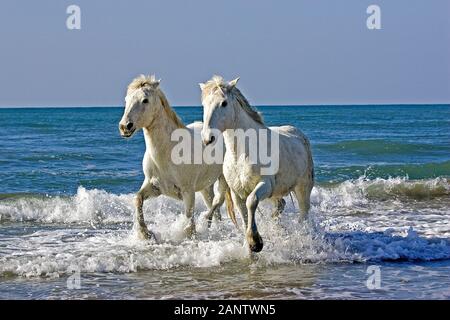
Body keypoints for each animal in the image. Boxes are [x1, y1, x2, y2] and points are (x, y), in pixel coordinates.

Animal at [118, 75, 234, 240]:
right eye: (127, 99)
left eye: (145, 100)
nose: (124, 127)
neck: (168, 152)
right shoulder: (153, 187)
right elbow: (137, 199)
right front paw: (146, 233)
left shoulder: (188, 192)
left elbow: (189, 221)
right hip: (206, 185)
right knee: (213, 205)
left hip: (223, 178)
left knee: (218, 201)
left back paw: (206, 222)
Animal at [200, 75, 312, 252]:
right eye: (204, 104)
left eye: (224, 103)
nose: (207, 138)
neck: (241, 154)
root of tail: (299, 134)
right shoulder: (237, 192)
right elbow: (244, 215)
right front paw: (249, 247)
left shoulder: (265, 185)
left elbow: (251, 202)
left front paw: (256, 242)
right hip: (277, 192)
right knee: (280, 205)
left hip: (302, 188)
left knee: (303, 212)